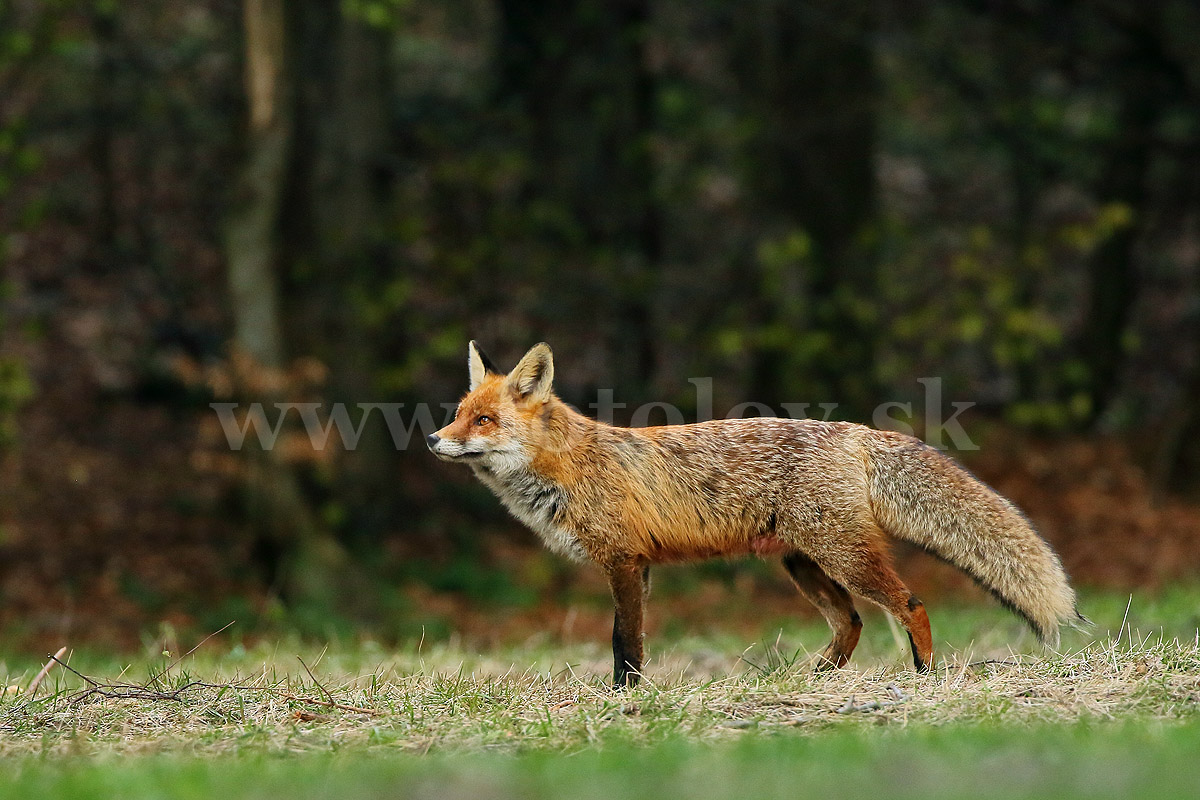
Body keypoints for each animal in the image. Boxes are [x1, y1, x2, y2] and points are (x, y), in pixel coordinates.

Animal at [429, 340, 1080, 686]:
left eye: (483, 420)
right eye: (458, 413)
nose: (434, 441)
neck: (571, 468)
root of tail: (854, 431)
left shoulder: (623, 561)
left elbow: (625, 642)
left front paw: (625, 699)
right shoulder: (637, 567)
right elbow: (624, 638)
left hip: (843, 557)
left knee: (909, 605)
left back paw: (921, 675)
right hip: (804, 565)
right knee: (852, 622)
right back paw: (816, 679)